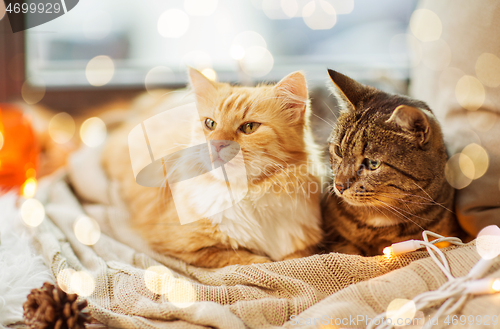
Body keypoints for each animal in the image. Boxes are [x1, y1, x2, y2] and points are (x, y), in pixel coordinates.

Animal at [104, 68, 324, 268]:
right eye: (210, 124)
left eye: (249, 127)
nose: (216, 144)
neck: (248, 194)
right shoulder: (182, 244)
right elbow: (247, 260)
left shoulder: (301, 245)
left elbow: (294, 261)